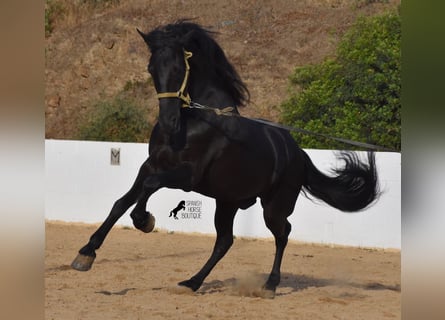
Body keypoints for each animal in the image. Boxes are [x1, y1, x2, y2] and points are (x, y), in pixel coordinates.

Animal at [72, 20, 378, 298]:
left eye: (179, 68)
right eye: (151, 69)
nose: (169, 123)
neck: (195, 121)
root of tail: (298, 153)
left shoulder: (186, 177)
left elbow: (147, 189)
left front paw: (144, 220)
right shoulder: (151, 166)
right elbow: (121, 202)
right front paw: (86, 254)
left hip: (273, 206)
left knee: (282, 233)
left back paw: (269, 286)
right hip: (228, 201)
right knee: (225, 241)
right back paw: (192, 283)